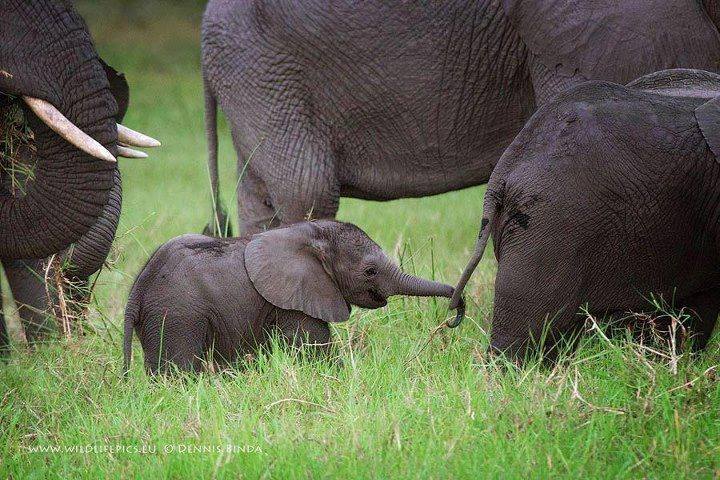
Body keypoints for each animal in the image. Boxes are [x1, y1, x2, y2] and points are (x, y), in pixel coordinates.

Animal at [123, 220, 462, 374]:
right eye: (370, 271)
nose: (453, 314)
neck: (311, 233)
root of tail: (137, 290)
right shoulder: (295, 299)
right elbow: (315, 349)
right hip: (176, 314)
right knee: (178, 370)